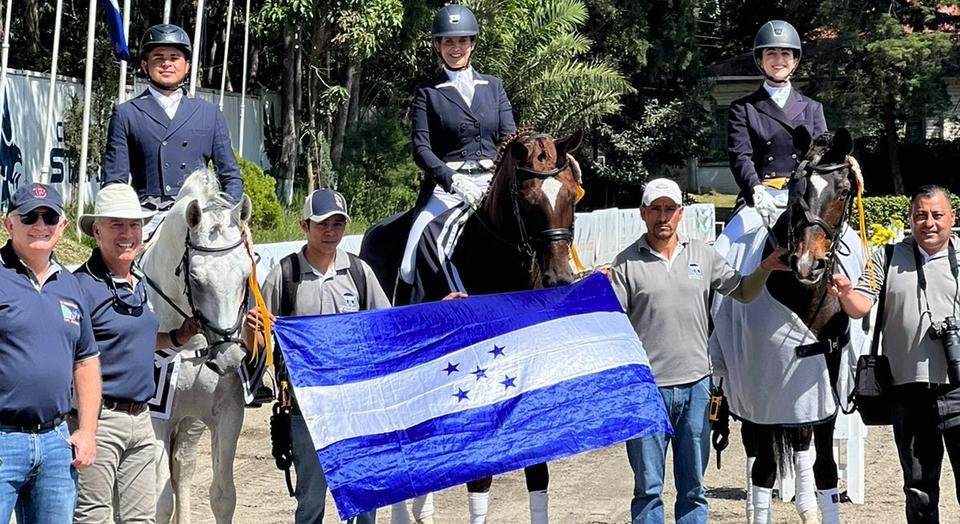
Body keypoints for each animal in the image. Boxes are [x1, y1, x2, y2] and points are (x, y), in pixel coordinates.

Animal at [141, 170, 255, 520]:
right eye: (195, 278)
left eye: (246, 273)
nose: (229, 358)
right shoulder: (156, 418)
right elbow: (159, 501)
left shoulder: (228, 414)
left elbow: (222, 495)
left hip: (190, 422)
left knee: (183, 469)